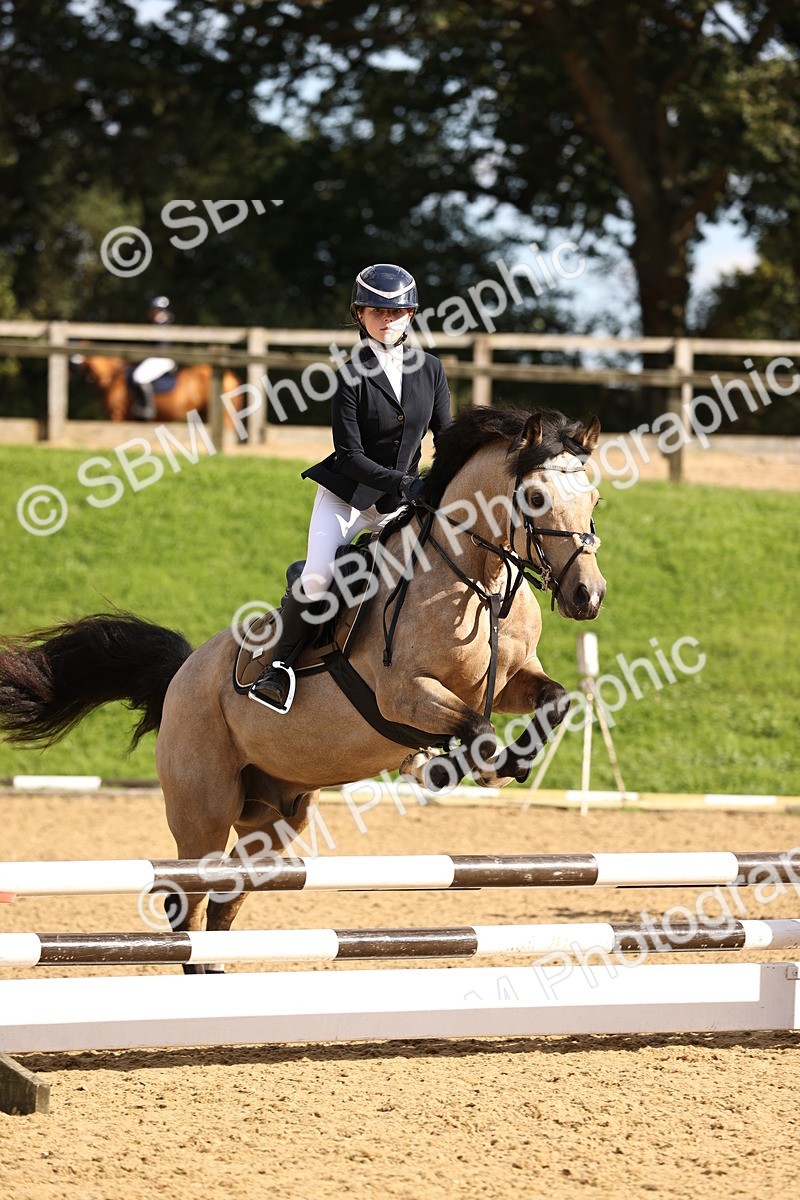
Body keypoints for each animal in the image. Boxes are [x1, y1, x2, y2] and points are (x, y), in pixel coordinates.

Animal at [0, 407, 605, 966]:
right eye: (535, 497)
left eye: (594, 499)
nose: (588, 596)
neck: (473, 580)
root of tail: (183, 672)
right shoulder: (403, 695)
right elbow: (477, 727)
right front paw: (449, 767)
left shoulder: (509, 681)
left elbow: (555, 701)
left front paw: (508, 763)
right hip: (203, 813)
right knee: (187, 902)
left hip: (274, 819)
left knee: (224, 902)